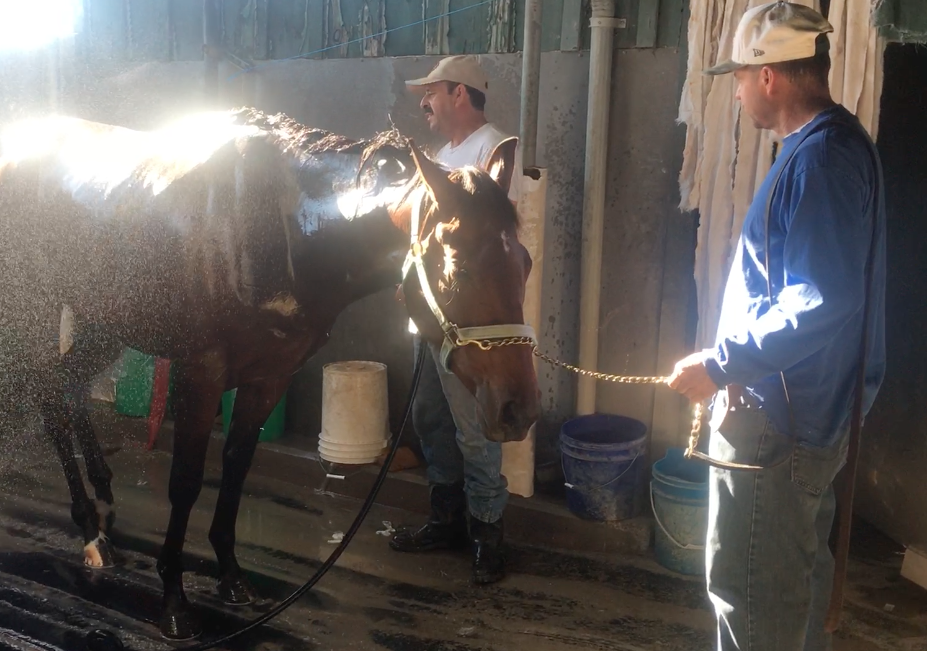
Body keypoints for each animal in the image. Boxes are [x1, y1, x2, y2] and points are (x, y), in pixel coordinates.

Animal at [0, 108, 540, 640]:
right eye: (458, 270)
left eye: (526, 262)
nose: (519, 410)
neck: (284, 225)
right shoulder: (200, 376)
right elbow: (186, 483)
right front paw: (174, 602)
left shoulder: (269, 377)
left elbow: (237, 470)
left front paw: (231, 577)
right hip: (41, 310)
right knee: (50, 394)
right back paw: (91, 532)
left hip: (104, 319)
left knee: (68, 385)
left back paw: (103, 500)